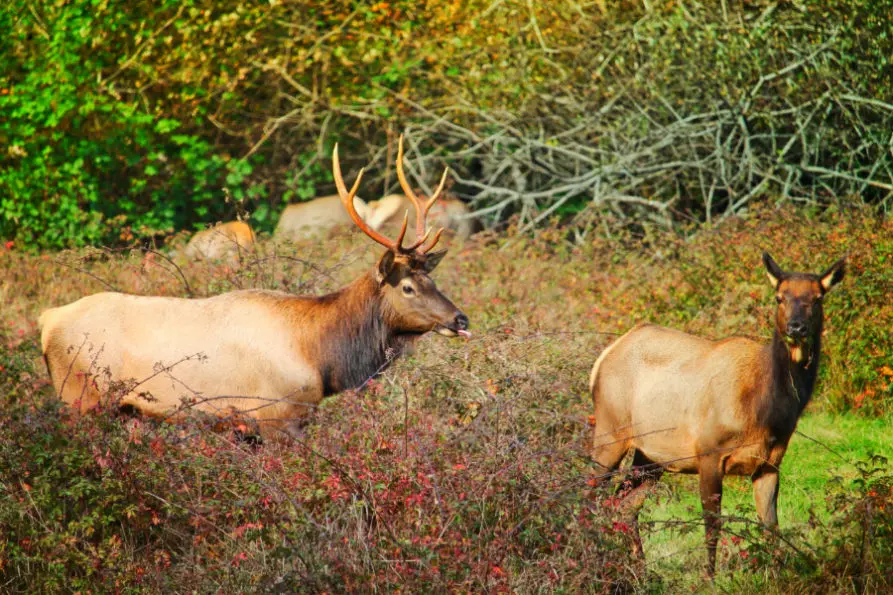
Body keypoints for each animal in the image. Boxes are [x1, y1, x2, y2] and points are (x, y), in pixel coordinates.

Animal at [38, 137, 470, 440]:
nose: (460, 319)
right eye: (408, 287)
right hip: (81, 398)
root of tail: (47, 320)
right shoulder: (278, 417)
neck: (321, 355)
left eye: (433, 279)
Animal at [588, 253, 848, 576]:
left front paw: (777, 574)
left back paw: (640, 569)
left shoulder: (770, 462)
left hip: (650, 456)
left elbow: (771, 526)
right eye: (779, 297)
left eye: (817, 298)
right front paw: (710, 577)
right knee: (590, 495)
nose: (796, 327)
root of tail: (602, 359)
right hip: (609, 431)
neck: (766, 411)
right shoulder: (708, 451)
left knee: (625, 504)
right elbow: (712, 525)